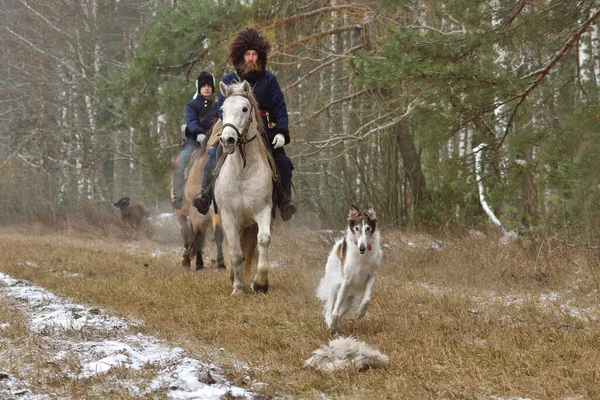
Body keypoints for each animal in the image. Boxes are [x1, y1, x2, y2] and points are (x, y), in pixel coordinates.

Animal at [216, 80, 274, 294]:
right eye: (222, 110)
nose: (227, 140)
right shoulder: (228, 216)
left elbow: (263, 240)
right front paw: (238, 286)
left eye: (244, 108)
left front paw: (260, 282)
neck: (242, 172)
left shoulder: (263, 210)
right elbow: (235, 250)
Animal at [316, 203, 382, 332]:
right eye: (357, 228)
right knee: (330, 308)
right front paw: (332, 324)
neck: (362, 256)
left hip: (349, 299)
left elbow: (367, 299)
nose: (362, 248)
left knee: (340, 310)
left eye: (368, 228)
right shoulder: (346, 281)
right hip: (335, 286)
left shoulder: (372, 276)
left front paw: (360, 313)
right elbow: (335, 311)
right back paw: (330, 324)